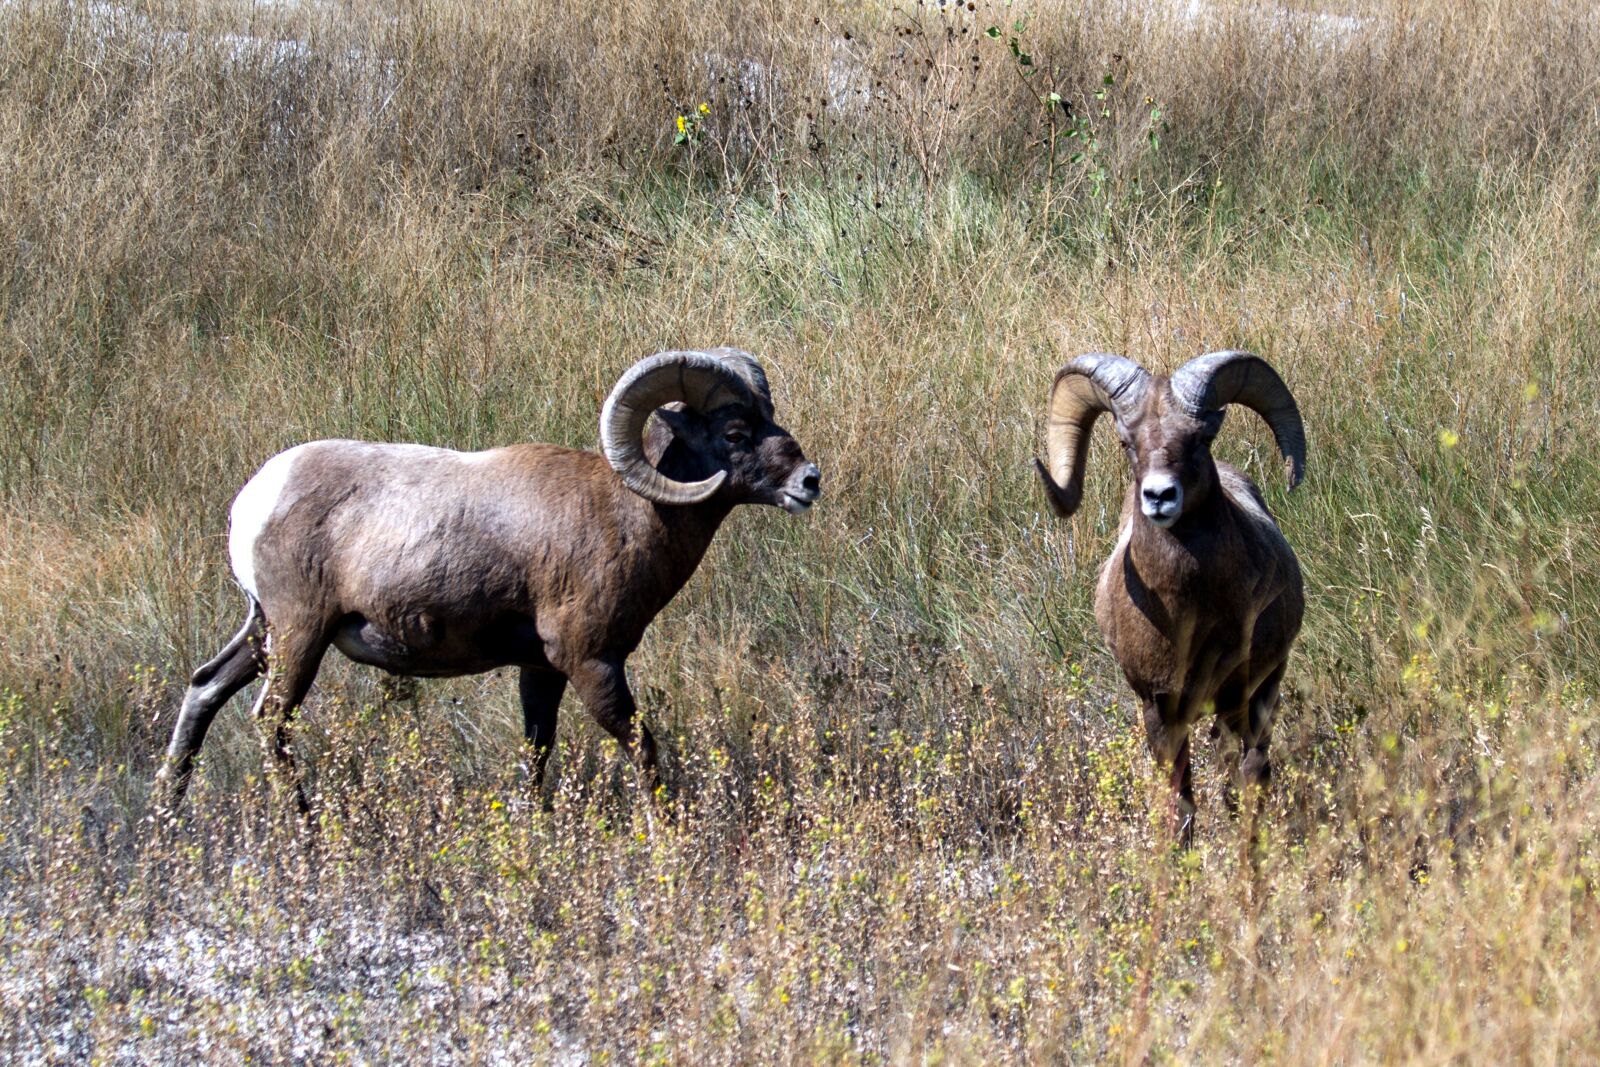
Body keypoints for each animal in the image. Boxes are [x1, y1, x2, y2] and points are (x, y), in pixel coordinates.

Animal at [153, 347, 821, 816]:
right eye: (734, 434)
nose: (809, 481)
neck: (626, 513)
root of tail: (255, 498)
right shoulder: (591, 662)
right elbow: (643, 750)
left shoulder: (542, 670)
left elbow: (537, 755)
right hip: (299, 635)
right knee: (270, 722)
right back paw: (306, 829)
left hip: (264, 632)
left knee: (204, 688)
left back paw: (169, 810)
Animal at [1033, 350, 1306, 845]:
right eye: (1126, 442)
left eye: (1200, 439)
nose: (1159, 496)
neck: (1187, 615)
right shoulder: (1159, 709)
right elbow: (1178, 802)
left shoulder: (1244, 693)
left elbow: (1245, 781)